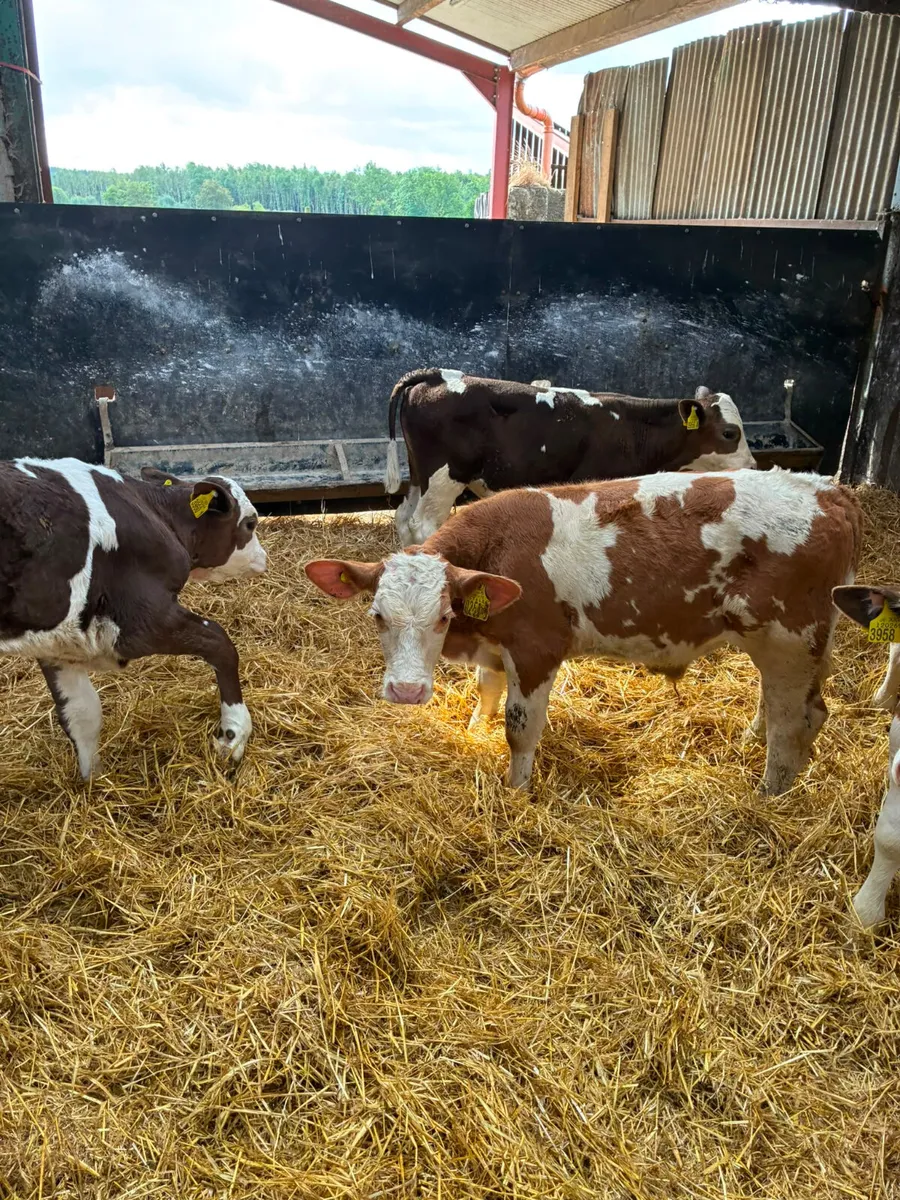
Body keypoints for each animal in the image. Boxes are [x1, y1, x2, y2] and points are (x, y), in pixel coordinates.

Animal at [0, 458, 267, 778]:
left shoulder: (60, 643)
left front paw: (94, 782)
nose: (263, 557)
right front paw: (233, 735)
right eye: (250, 523)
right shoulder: (139, 624)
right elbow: (221, 644)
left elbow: (82, 714)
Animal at [308, 468, 860, 796]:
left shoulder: (536, 650)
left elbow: (519, 729)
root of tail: (827, 489)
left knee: (796, 722)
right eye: (377, 615)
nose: (406, 690)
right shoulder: (498, 649)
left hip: (790, 640)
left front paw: (517, 793)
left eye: (443, 616)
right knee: (781, 706)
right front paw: (472, 731)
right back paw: (750, 741)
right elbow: (486, 691)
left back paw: (768, 795)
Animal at [383, 368, 756, 547]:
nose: (754, 467)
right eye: (729, 433)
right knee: (421, 524)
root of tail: (435, 374)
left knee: (403, 515)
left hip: (419, 473)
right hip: (445, 476)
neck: (632, 428)